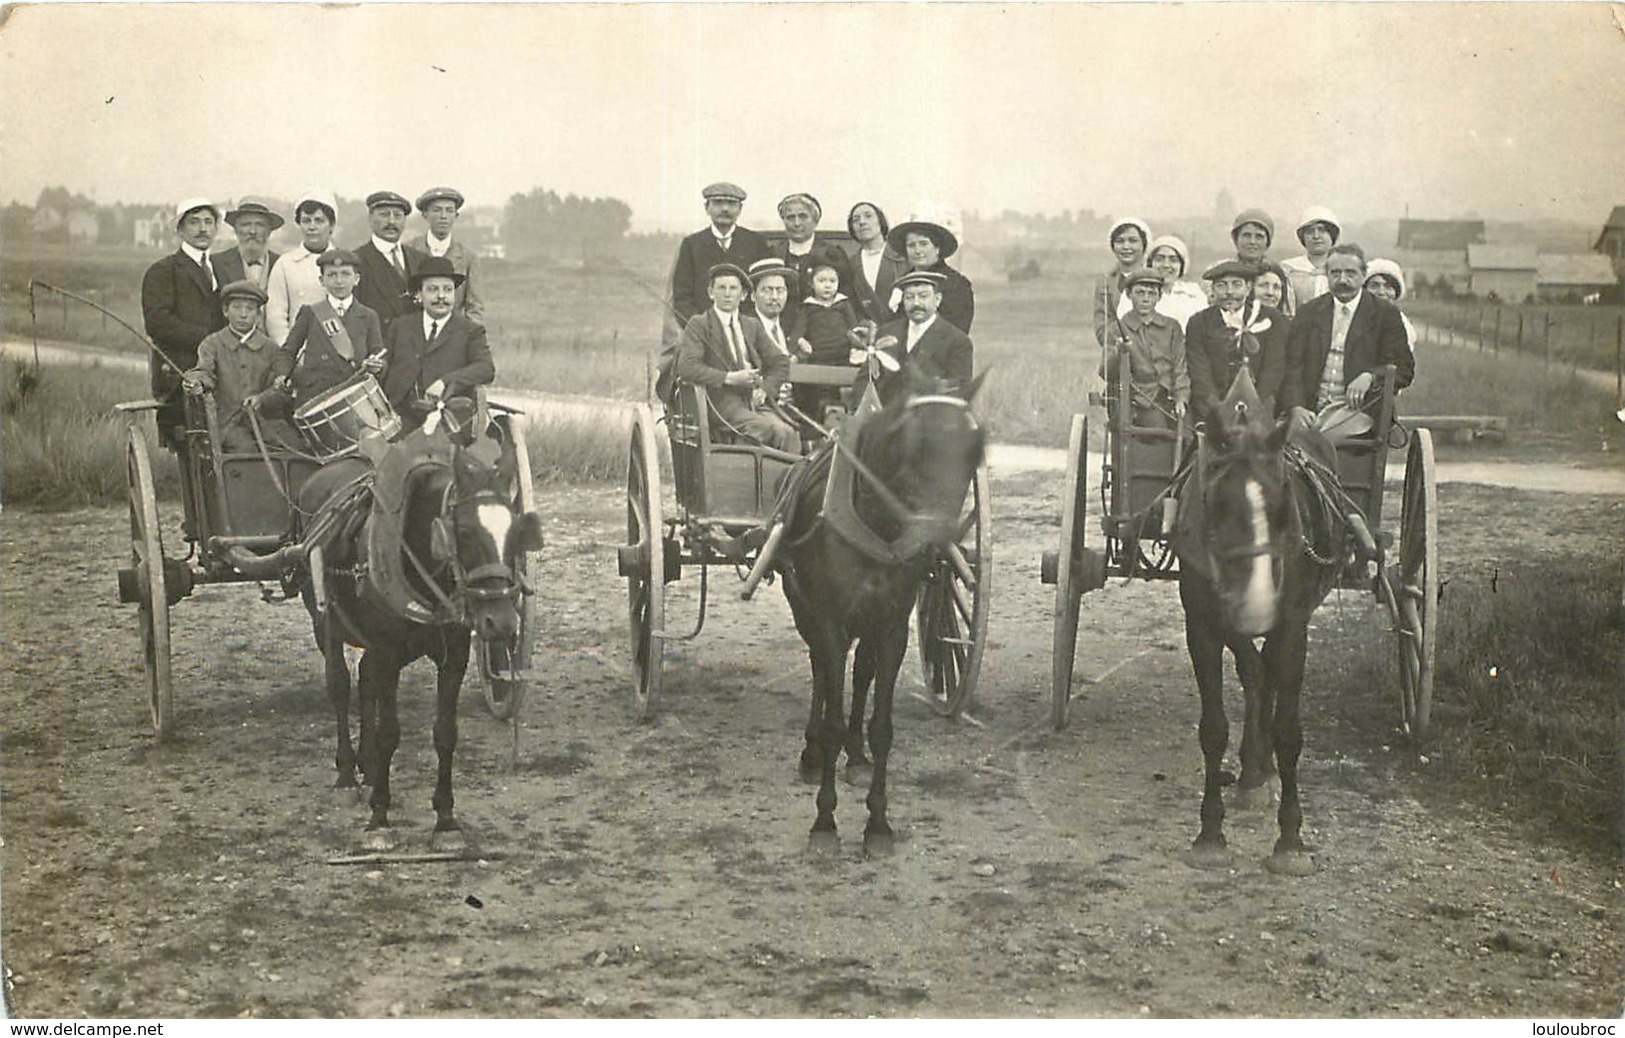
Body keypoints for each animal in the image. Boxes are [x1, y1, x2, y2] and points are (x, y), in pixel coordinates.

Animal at [295, 402, 542, 851]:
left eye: (517, 531)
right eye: (464, 531)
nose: (500, 622)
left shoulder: (454, 656)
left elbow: (445, 732)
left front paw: (446, 819)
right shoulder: (387, 651)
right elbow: (389, 731)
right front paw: (379, 817)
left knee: (364, 682)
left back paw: (367, 766)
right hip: (326, 621)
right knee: (340, 684)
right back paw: (347, 773)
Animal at [776, 370, 988, 857]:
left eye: (974, 448)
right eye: (911, 442)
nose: (937, 540)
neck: (877, 524)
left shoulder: (892, 628)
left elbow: (882, 726)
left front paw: (877, 823)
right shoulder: (829, 622)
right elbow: (832, 717)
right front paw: (825, 821)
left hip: (868, 626)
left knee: (861, 674)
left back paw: (855, 758)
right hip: (806, 610)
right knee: (821, 671)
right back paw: (813, 754)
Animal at [1170, 365, 1345, 877]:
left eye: (1284, 498)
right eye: (1215, 502)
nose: (1258, 605)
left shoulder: (1292, 628)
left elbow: (1289, 731)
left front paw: (1290, 840)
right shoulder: (1204, 627)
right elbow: (1214, 727)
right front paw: (1210, 833)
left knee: (1264, 675)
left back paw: (1259, 772)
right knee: (1255, 674)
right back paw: (1252, 772)